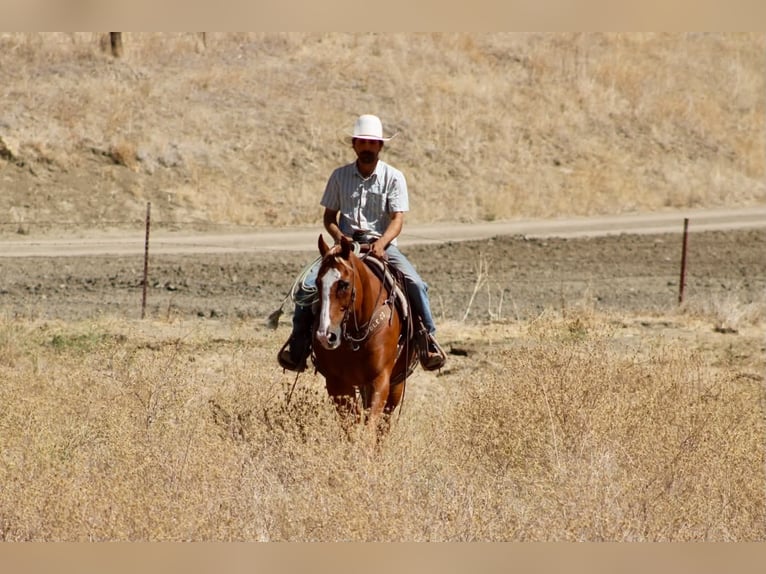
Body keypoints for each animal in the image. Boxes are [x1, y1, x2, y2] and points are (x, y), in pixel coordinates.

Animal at [311, 234, 418, 435]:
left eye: (344, 284)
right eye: (317, 283)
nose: (325, 335)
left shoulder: (380, 380)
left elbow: (370, 427)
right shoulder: (336, 383)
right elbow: (351, 428)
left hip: (396, 383)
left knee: (384, 425)